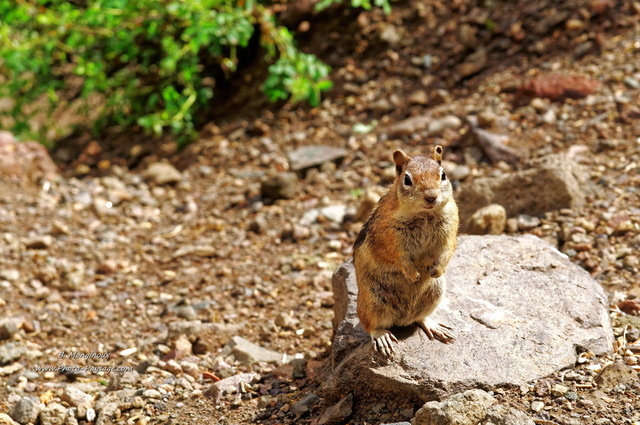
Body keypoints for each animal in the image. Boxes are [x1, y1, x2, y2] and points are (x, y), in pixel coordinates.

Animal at [352, 145, 458, 354]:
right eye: (407, 180)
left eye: (443, 175)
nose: (431, 196)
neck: (424, 214)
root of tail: (402, 320)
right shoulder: (387, 236)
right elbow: (396, 256)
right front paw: (412, 273)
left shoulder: (451, 223)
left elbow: (448, 249)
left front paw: (437, 269)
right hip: (372, 302)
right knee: (371, 325)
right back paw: (382, 337)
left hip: (434, 292)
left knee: (420, 318)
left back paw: (434, 326)